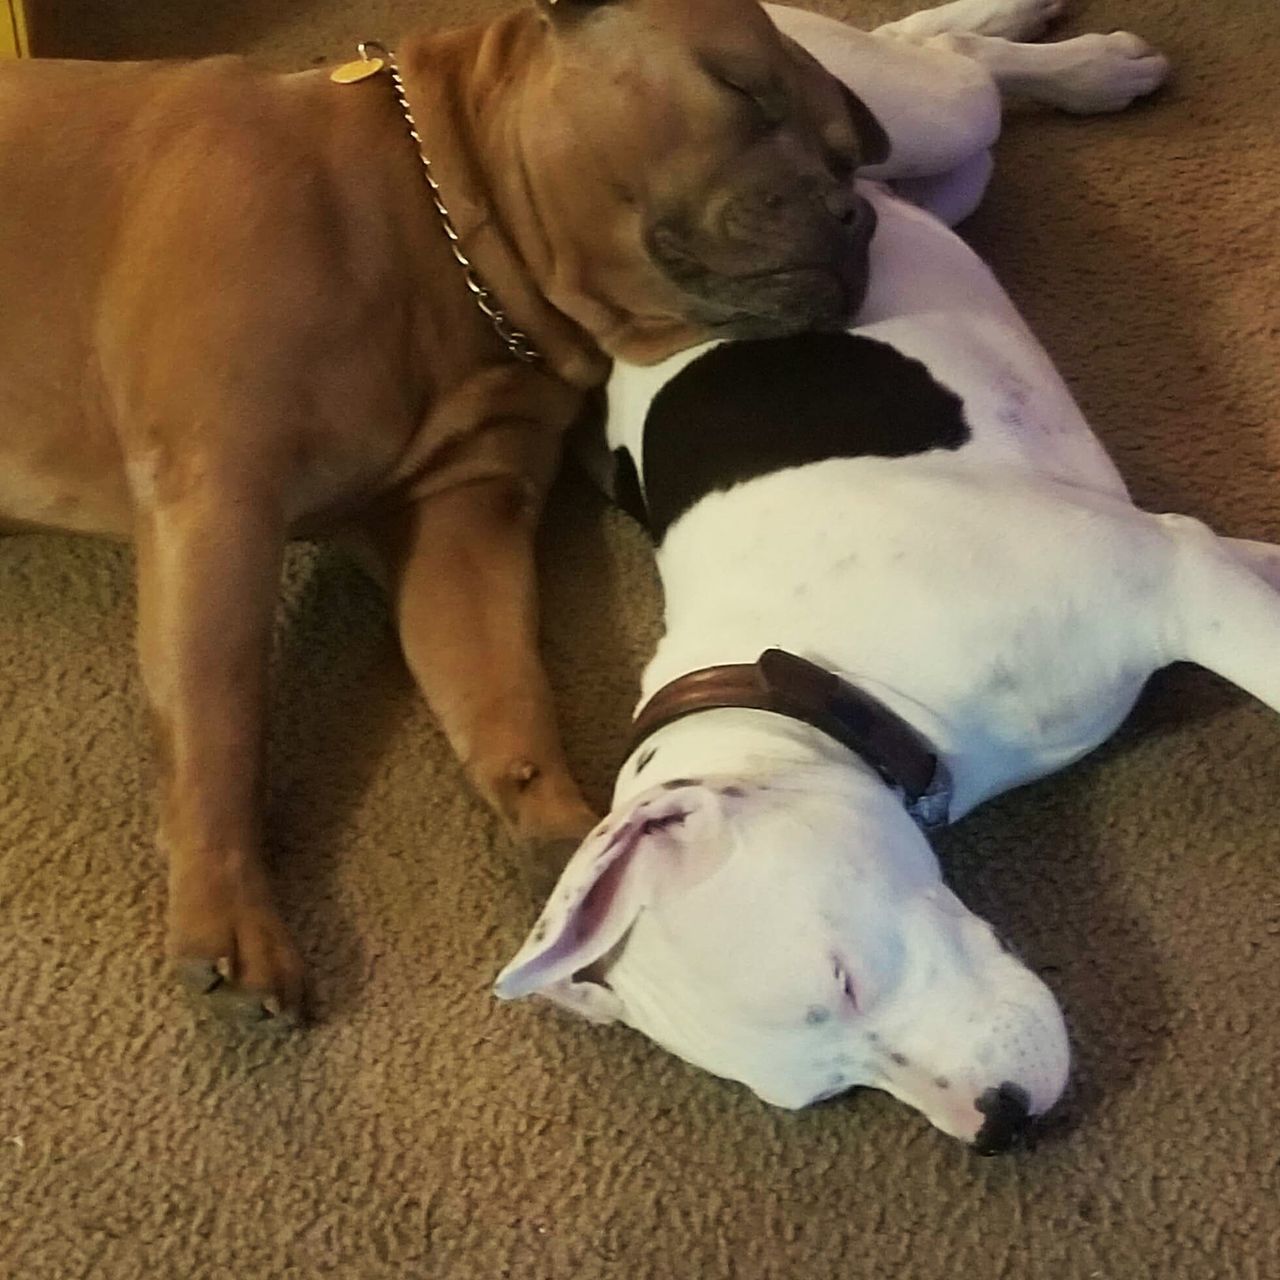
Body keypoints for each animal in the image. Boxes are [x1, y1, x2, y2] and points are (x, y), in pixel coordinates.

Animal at [0, 0, 885, 1024]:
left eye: (849, 160)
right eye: (741, 87)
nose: (855, 213)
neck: (438, 232)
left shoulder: (464, 525)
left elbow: (504, 691)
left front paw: (566, 838)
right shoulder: (219, 496)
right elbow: (218, 717)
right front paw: (227, 914)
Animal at [491, 2, 1239, 1162]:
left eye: (840, 979)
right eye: (832, 1088)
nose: (998, 1126)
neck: (818, 671)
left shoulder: (1182, 577)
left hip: (908, 115)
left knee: (950, 66)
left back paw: (1093, 65)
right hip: (947, 182)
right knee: (939, 49)